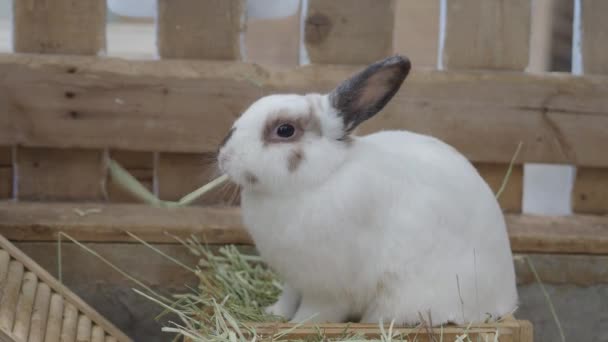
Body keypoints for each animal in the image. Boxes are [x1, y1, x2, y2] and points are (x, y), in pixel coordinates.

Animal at [217, 55, 516, 326]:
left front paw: (297, 325)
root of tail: (505, 299)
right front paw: (274, 314)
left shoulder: (326, 288)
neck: (320, 178)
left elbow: (316, 312)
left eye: (285, 130)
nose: (224, 156)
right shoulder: (294, 279)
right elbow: (288, 298)